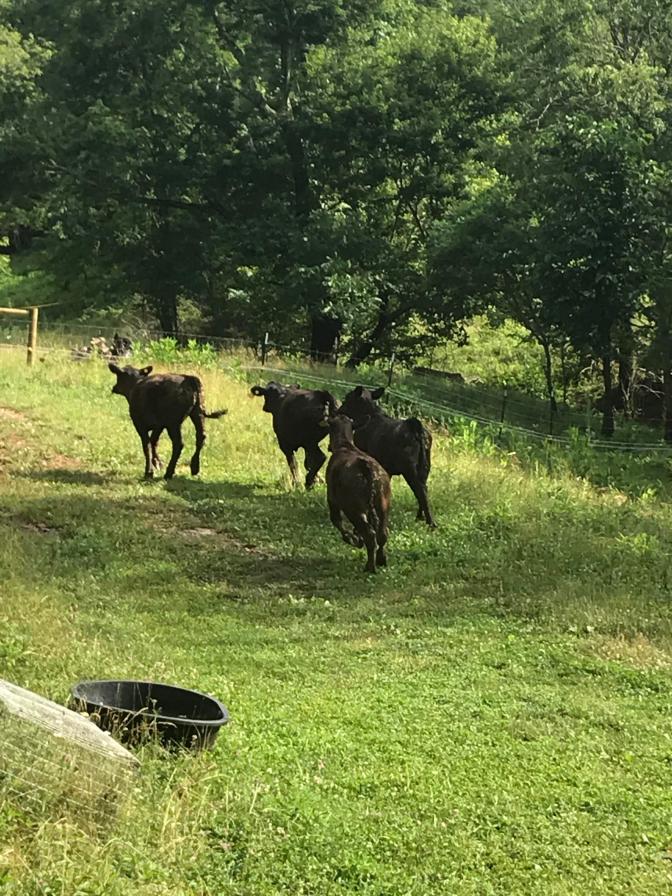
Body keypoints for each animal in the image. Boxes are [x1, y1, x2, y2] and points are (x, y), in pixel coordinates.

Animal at [325, 415, 391, 573]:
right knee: (382, 533)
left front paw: (352, 539)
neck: (345, 445)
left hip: (353, 508)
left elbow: (337, 522)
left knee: (370, 534)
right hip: (383, 504)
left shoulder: (332, 499)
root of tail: (365, 467)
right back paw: (381, 559)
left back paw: (370, 566)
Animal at [338, 385, 435, 527]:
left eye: (347, 398)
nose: (338, 411)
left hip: (410, 470)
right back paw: (419, 517)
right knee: (425, 490)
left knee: (421, 491)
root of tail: (417, 429)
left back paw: (431, 523)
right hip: (425, 468)